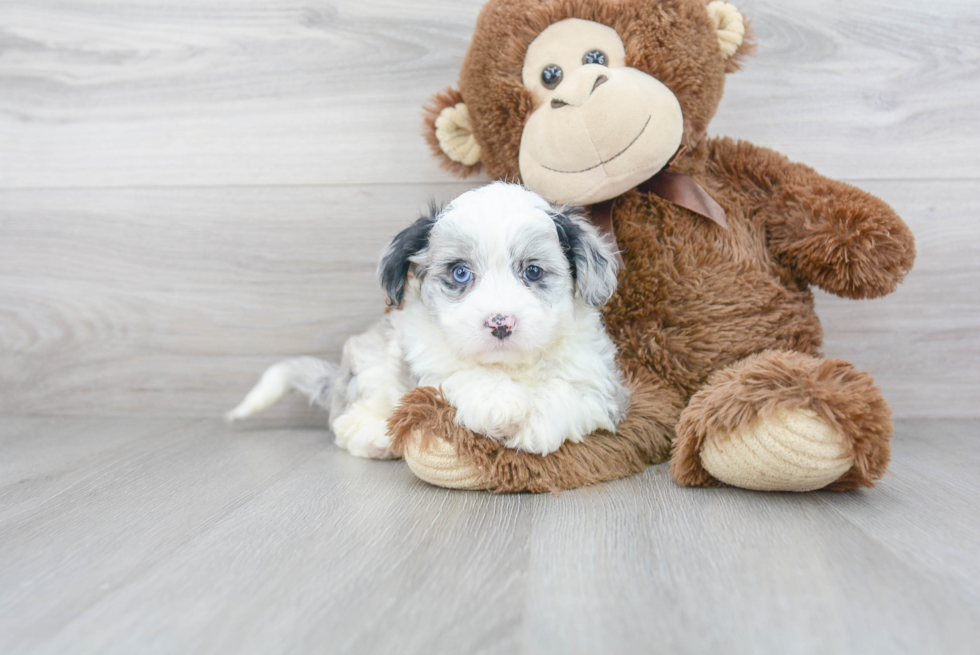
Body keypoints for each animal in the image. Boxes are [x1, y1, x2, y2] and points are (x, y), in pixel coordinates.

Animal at [227, 184, 632, 458]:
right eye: (460, 273)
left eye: (533, 271)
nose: (500, 323)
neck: (510, 365)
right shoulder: (425, 362)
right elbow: (462, 374)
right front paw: (501, 404)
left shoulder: (601, 384)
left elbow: (568, 393)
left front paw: (535, 424)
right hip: (371, 366)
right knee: (346, 421)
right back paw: (377, 436)